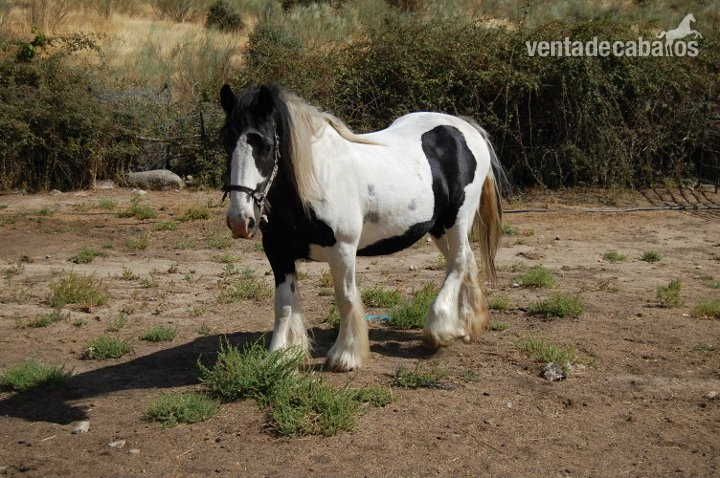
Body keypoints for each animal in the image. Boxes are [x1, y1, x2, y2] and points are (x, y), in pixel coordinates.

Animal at [220, 84, 504, 371]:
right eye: (226, 142)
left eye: (266, 146)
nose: (240, 220)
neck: (317, 180)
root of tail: (466, 128)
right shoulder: (278, 254)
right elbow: (283, 305)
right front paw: (280, 355)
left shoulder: (342, 249)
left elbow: (345, 299)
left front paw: (345, 355)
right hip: (437, 228)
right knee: (465, 261)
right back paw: (465, 326)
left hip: (457, 219)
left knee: (458, 262)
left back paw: (439, 328)